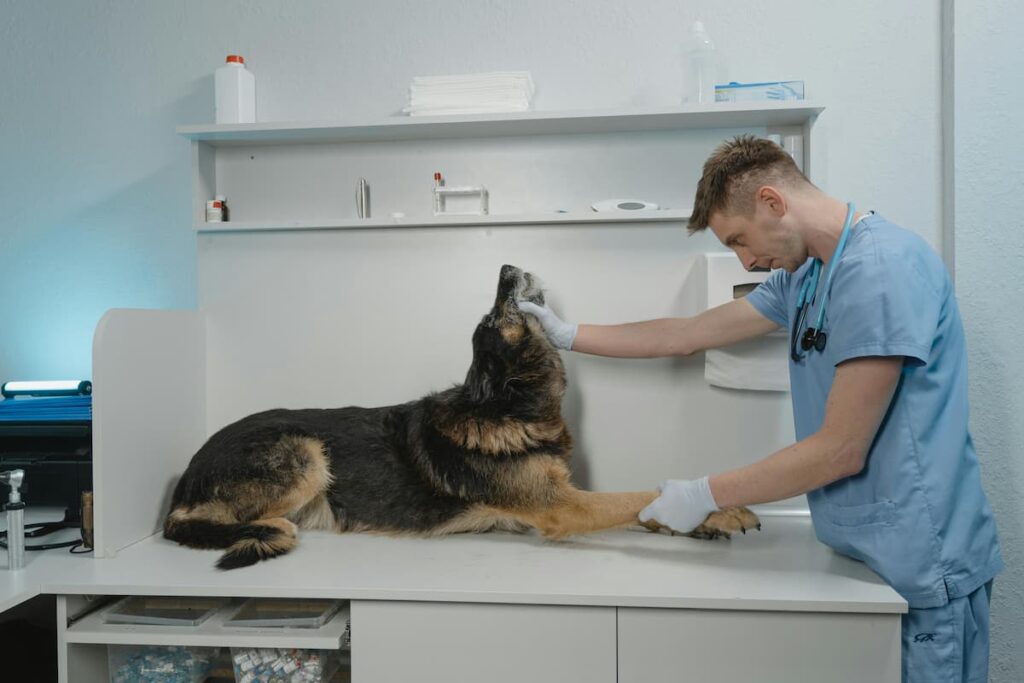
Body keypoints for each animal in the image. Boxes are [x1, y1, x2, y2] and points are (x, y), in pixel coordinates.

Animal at [163, 264, 761, 569]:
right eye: (495, 318)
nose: (505, 267)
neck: (507, 404)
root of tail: (187, 472)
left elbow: (645, 507)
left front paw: (706, 516)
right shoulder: (562, 507)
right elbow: (633, 497)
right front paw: (715, 509)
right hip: (304, 453)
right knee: (190, 524)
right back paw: (261, 529)